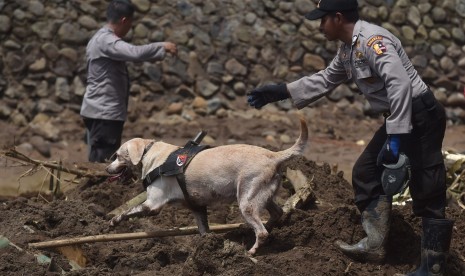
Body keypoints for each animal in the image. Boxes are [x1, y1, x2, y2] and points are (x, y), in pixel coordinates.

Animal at [105, 116, 308, 254]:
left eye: (117, 156)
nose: (107, 169)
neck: (150, 154)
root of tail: (273, 155)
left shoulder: (152, 205)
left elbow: (128, 211)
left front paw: (114, 221)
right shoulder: (197, 208)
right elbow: (204, 231)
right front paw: (206, 249)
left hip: (246, 202)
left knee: (262, 231)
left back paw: (252, 251)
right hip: (263, 196)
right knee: (277, 213)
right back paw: (269, 230)